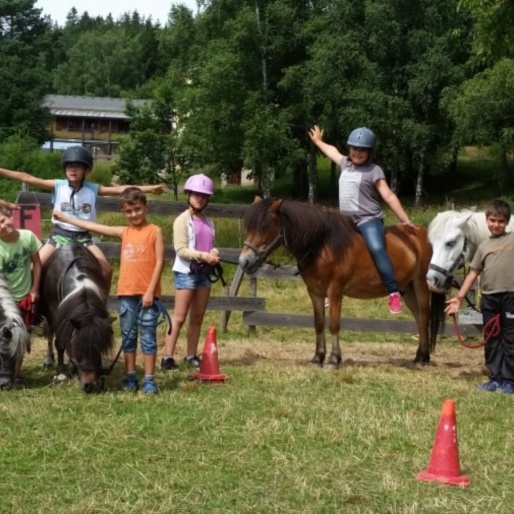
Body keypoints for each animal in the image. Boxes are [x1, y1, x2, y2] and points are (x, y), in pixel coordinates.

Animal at [39, 242, 115, 390]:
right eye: (80, 349)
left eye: (99, 349)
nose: (90, 386)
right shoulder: (55, 314)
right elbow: (60, 342)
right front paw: (61, 372)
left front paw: (72, 367)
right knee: (50, 334)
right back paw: (49, 360)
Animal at [238, 199, 442, 364]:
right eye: (248, 227)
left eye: (264, 227)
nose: (244, 262)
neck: (322, 246)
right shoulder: (315, 292)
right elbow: (319, 323)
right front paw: (318, 357)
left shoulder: (335, 291)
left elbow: (334, 325)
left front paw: (334, 359)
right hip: (407, 289)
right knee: (418, 318)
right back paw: (419, 355)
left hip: (420, 285)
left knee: (424, 317)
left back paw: (422, 359)